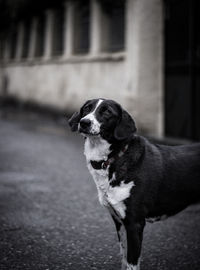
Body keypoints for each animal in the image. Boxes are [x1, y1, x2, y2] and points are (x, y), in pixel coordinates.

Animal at [68, 98, 199, 270]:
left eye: (107, 112)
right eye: (86, 108)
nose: (84, 122)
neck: (115, 158)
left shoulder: (135, 224)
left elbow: (132, 262)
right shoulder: (119, 221)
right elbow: (124, 257)